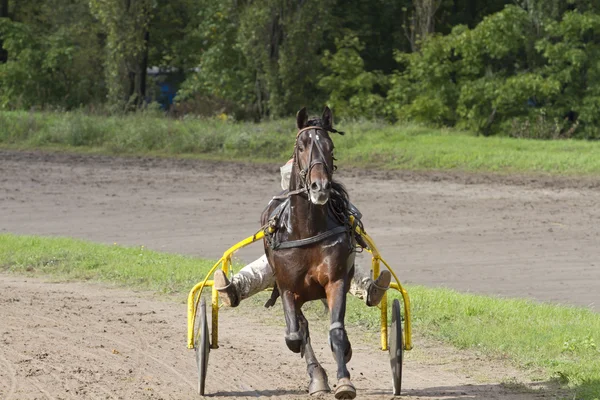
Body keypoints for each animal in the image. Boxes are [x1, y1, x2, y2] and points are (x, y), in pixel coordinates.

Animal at [262, 105, 356, 396]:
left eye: (330, 146)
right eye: (301, 146)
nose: (320, 186)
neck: (305, 229)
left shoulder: (336, 280)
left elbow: (337, 331)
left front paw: (344, 381)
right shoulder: (286, 287)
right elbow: (295, 335)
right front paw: (317, 376)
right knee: (299, 329)